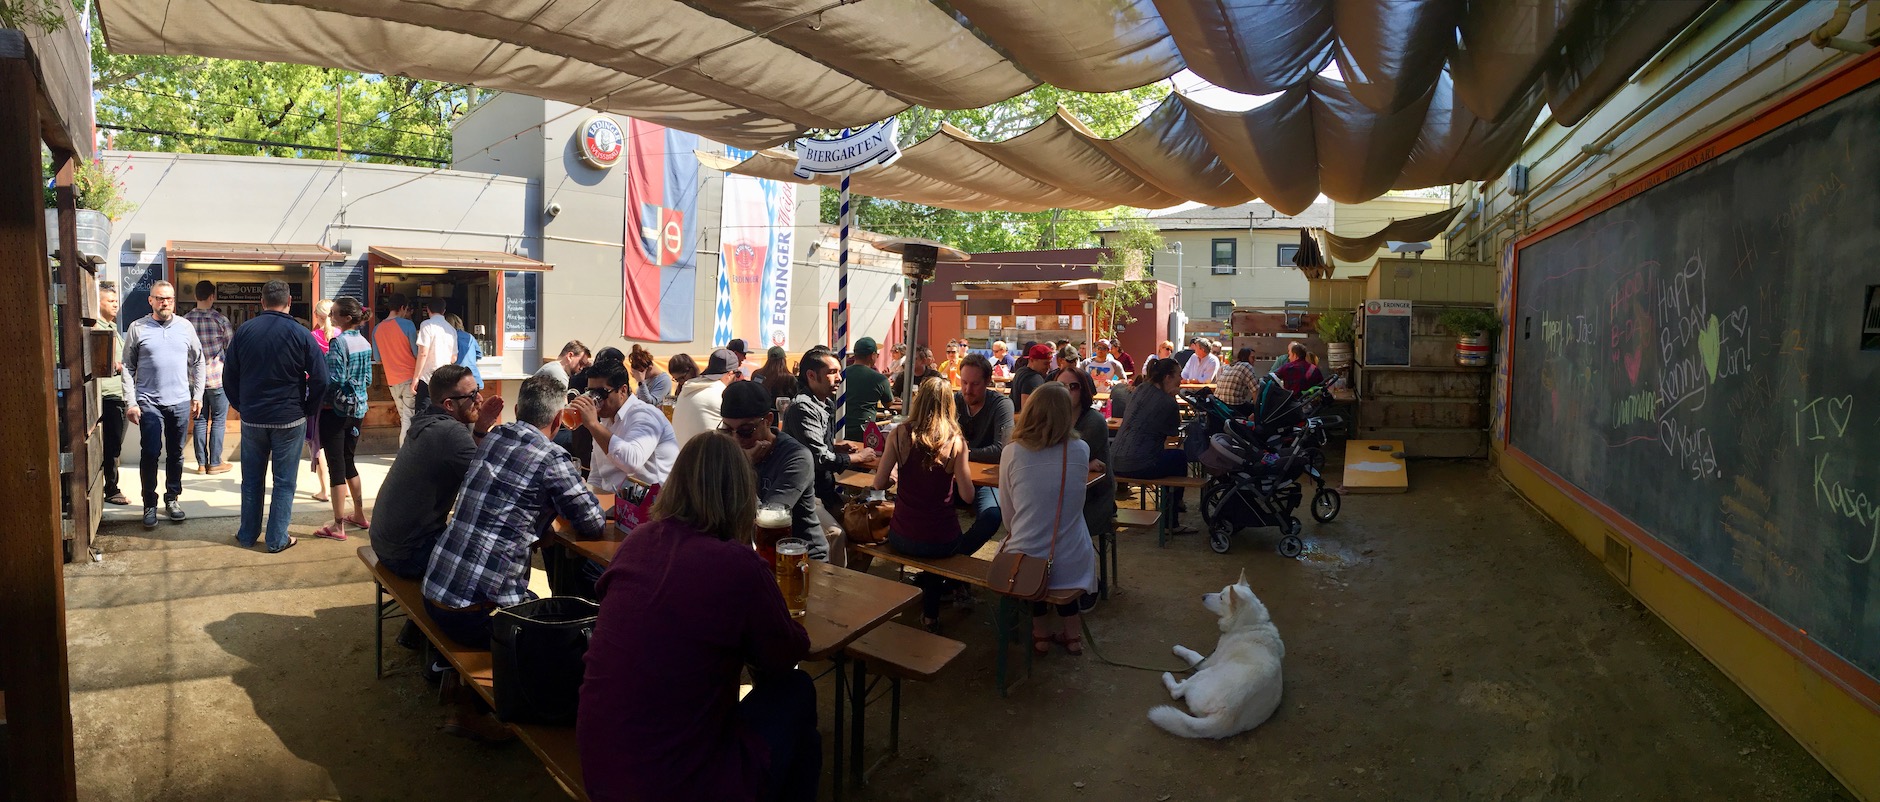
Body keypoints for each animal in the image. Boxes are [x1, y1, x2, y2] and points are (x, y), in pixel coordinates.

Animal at [1135, 570, 1285, 740]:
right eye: (1220, 592)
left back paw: (1170, 678)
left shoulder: (1206, 663)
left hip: (1204, 673)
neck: (1250, 624)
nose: (1203, 596)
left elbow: (1192, 654)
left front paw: (1179, 648)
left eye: (1221, 598)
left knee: (1176, 692)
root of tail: (1225, 717)